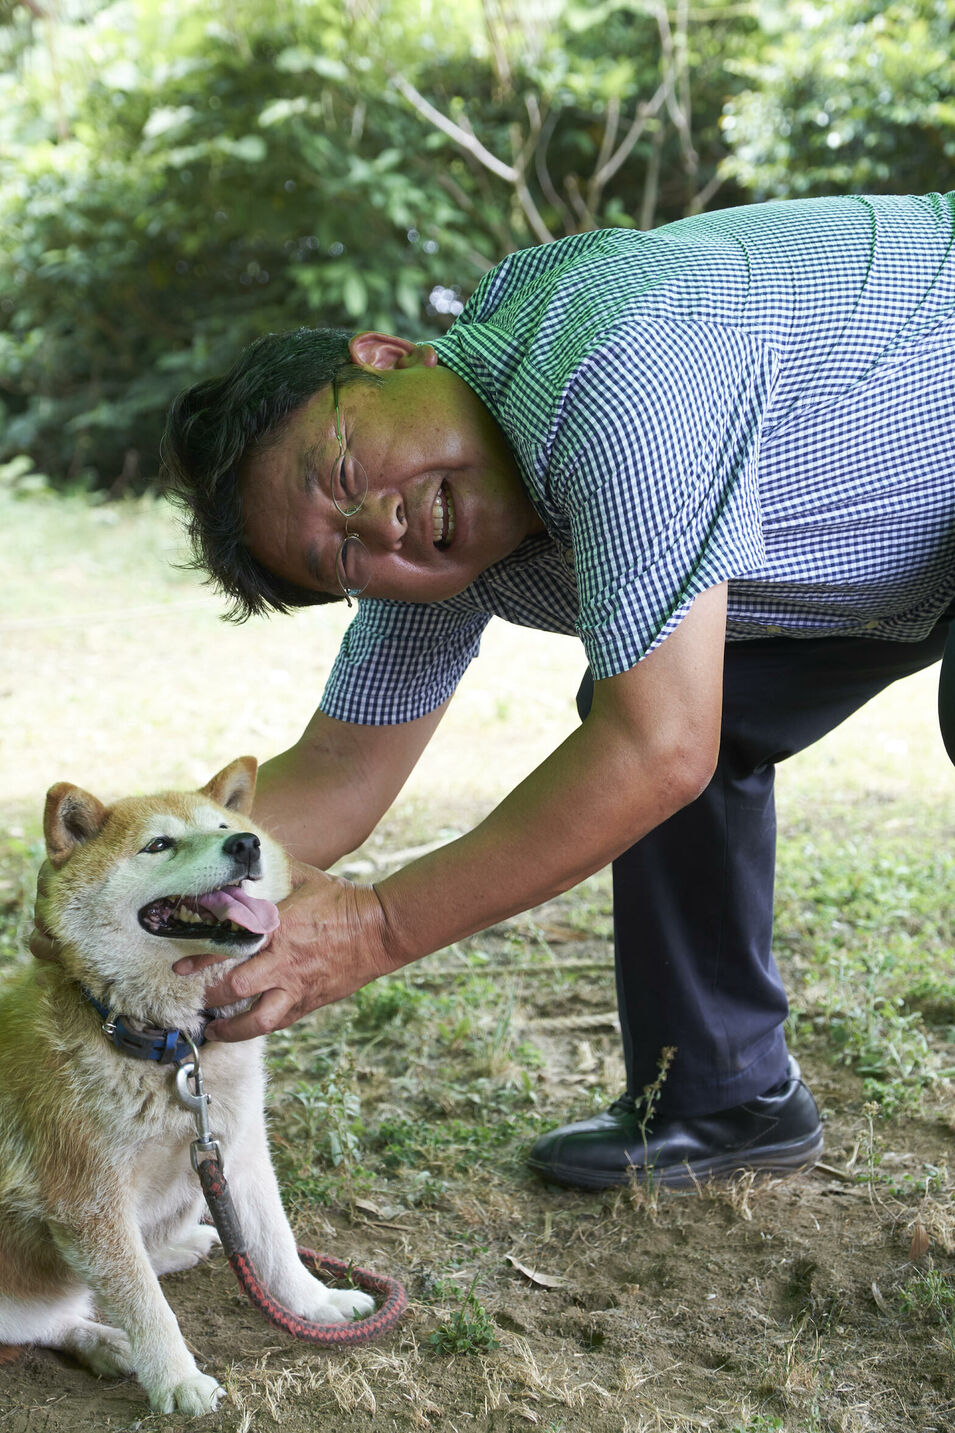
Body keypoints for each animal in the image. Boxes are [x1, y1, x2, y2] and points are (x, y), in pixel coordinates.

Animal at [0, 756, 372, 1415]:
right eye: (158, 845)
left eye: (224, 826)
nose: (245, 843)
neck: (169, 1044)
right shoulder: (89, 1201)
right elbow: (146, 1304)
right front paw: (176, 1379)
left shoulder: (236, 1150)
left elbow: (275, 1243)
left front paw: (317, 1303)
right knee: (48, 1321)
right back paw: (107, 1341)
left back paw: (177, 1250)